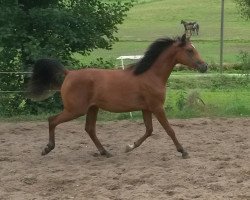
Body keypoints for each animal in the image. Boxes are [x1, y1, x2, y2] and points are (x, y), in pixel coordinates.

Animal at [26, 34, 207, 159]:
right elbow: (169, 130)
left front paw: (129, 146)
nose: (205, 66)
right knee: (52, 120)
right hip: (75, 110)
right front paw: (183, 151)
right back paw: (47, 148)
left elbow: (149, 130)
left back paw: (105, 152)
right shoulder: (157, 107)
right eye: (190, 50)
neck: (151, 75)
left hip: (92, 108)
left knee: (89, 129)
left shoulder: (146, 108)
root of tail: (68, 73)